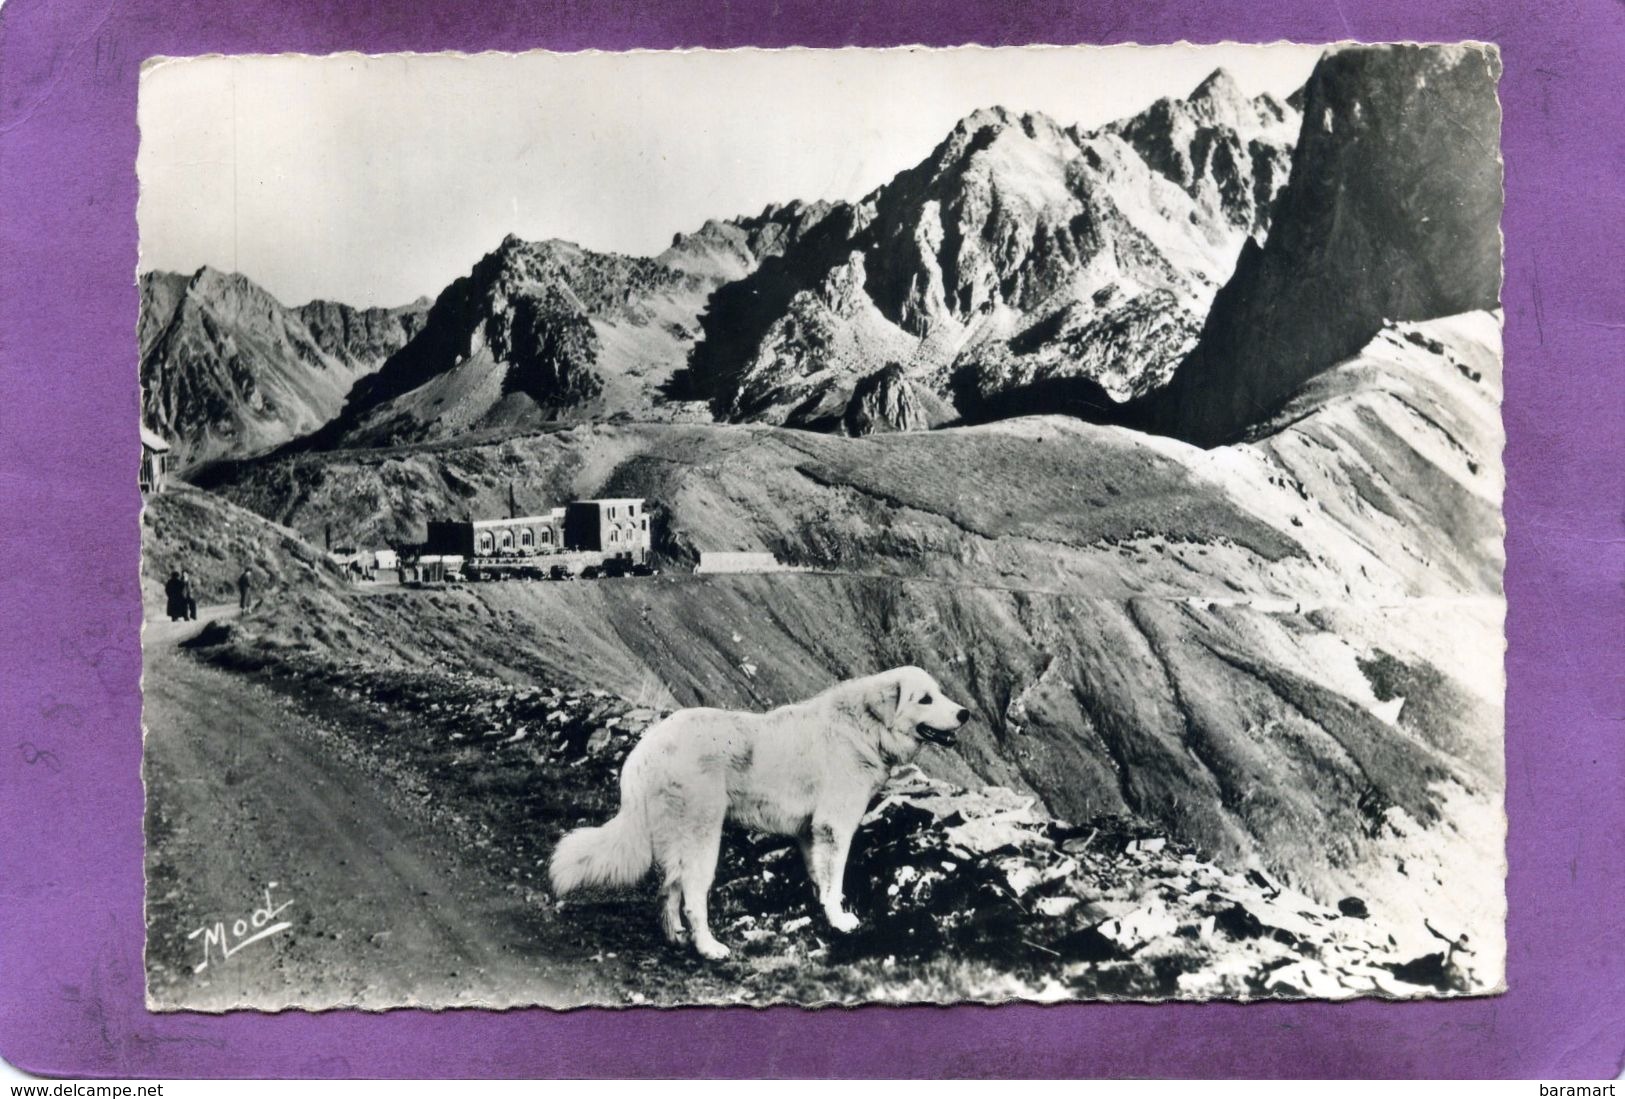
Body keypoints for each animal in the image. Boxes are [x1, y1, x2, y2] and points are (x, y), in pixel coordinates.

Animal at [552, 666, 968, 955]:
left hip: (676, 839)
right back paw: (708, 947)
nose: (964, 714)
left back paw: (676, 938)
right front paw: (840, 921)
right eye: (925, 699)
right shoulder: (835, 828)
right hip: (702, 838)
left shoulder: (810, 832)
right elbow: (835, 881)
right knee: (692, 896)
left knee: (667, 889)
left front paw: (821, 911)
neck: (862, 728)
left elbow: (819, 877)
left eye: (939, 693)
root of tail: (646, 747)